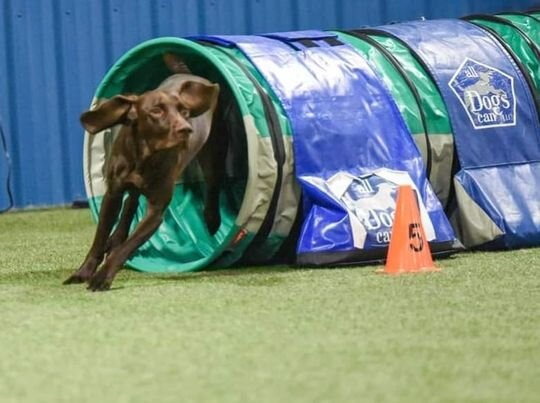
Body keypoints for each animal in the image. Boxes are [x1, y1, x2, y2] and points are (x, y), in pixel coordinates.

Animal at [62, 68, 221, 292]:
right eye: (156, 111)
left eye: (184, 111)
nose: (186, 130)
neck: (145, 157)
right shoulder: (112, 195)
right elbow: (99, 238)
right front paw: (83, 272)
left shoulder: (155, 213)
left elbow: (127, 246)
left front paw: (102, 277)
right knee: (131, 203)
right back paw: (116, 237)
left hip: (209, 151)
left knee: (213, 181)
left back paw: (212, 219)